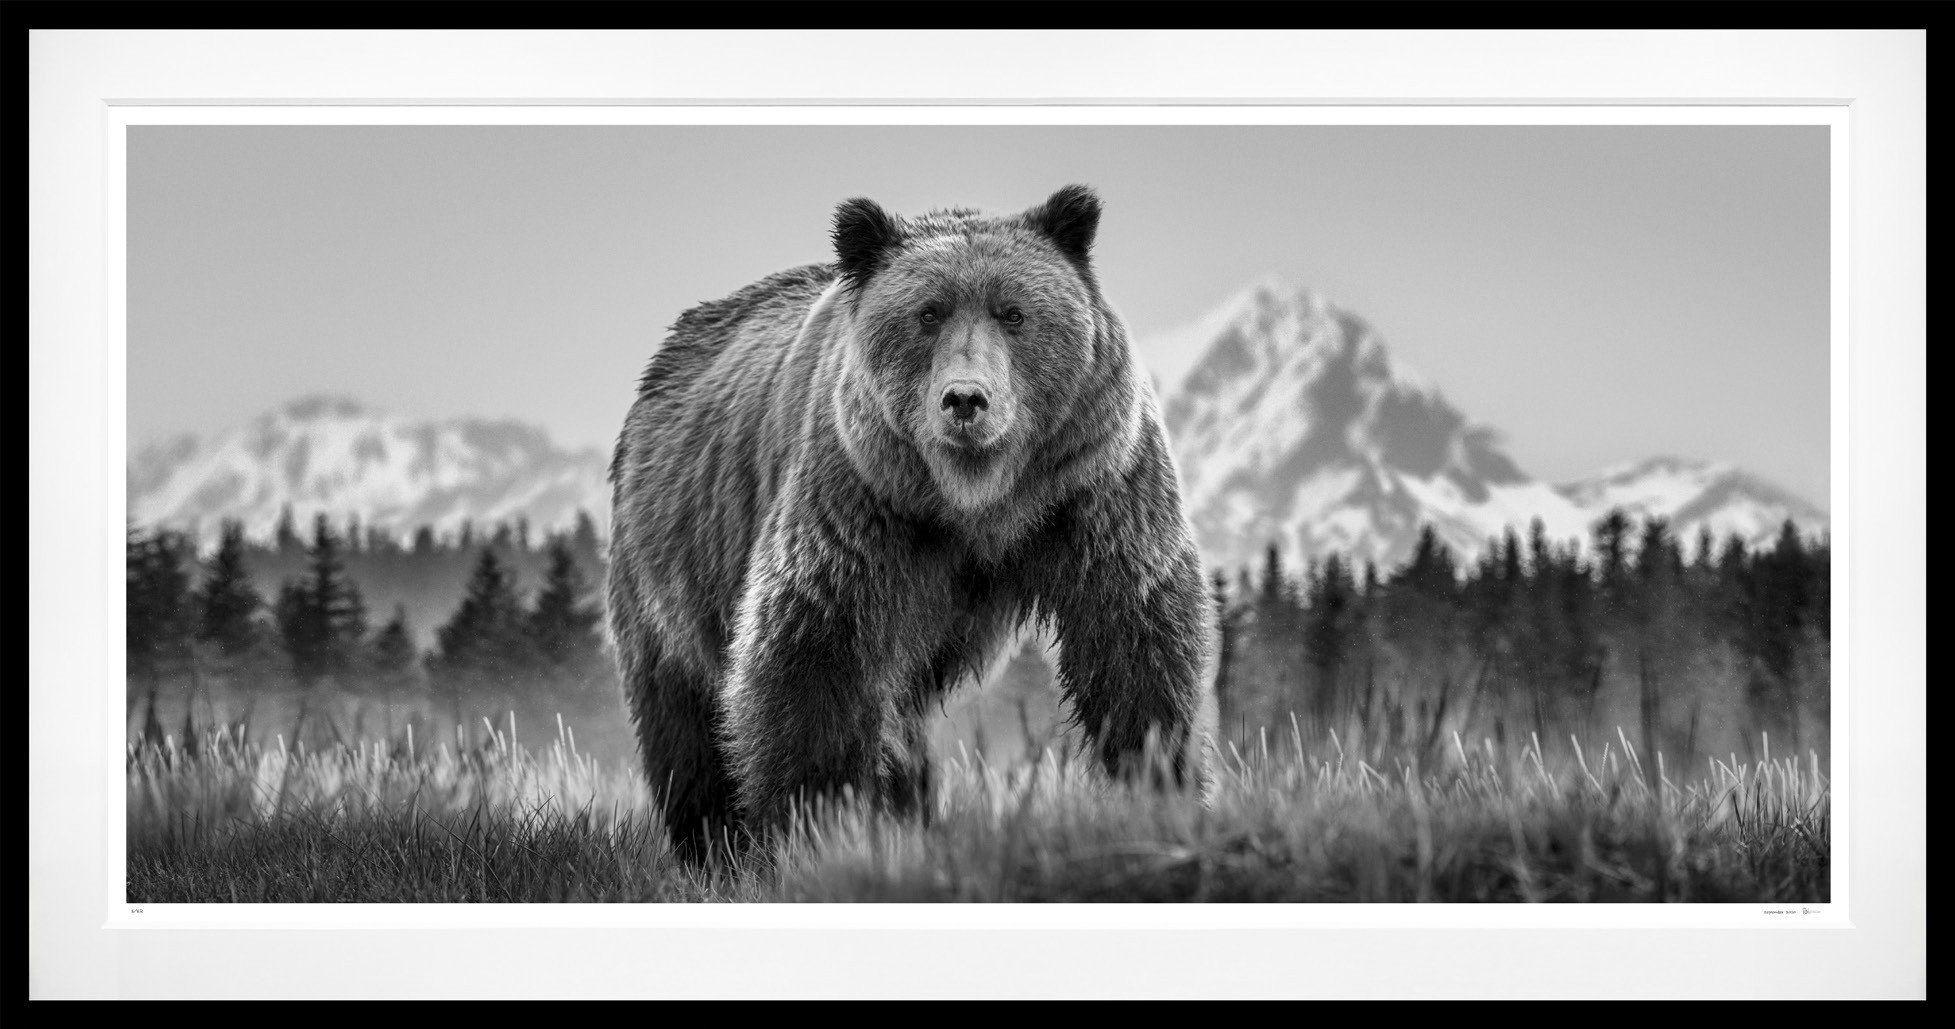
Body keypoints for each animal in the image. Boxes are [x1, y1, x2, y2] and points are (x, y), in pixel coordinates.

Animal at [607, 185, 1215, 862]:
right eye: (928, 313)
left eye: (1014, 313)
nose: (966, 399)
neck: (976, 501)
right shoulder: (861, 495)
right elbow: (814, 651)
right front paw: (818, 822)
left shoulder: (1093, 481)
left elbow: (1132, 637)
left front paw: (1158, 786)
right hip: (670, 559)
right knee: (684, 714)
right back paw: (712, 843)